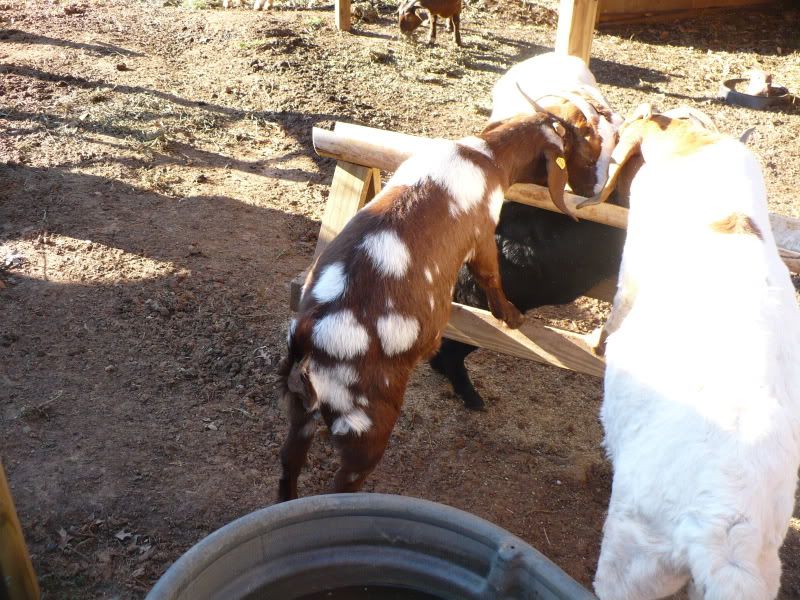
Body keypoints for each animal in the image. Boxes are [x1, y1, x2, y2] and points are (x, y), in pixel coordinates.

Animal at [278, 113, 593, 501]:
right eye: (574, 141)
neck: (485, 154)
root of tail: (309, 333)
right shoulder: (482, 232)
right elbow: (491, 275)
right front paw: (511, 316)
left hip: (300, 407)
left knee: (288, 463)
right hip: (364, 421)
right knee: (342, 483)